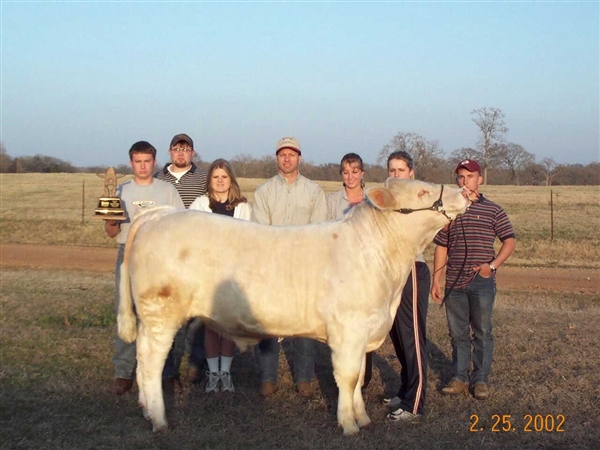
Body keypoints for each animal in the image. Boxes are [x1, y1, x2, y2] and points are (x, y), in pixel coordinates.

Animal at [117, 178, 468, 436]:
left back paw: (147, 410)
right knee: (150, 363)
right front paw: (349, 425)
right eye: (422, 191)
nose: (465, 191)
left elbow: (357, 380)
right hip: (160, 314)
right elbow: (349, 377)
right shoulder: (349, 330)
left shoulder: (365, 330)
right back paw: (158, 419)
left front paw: (363, 417)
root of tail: (158, 215)